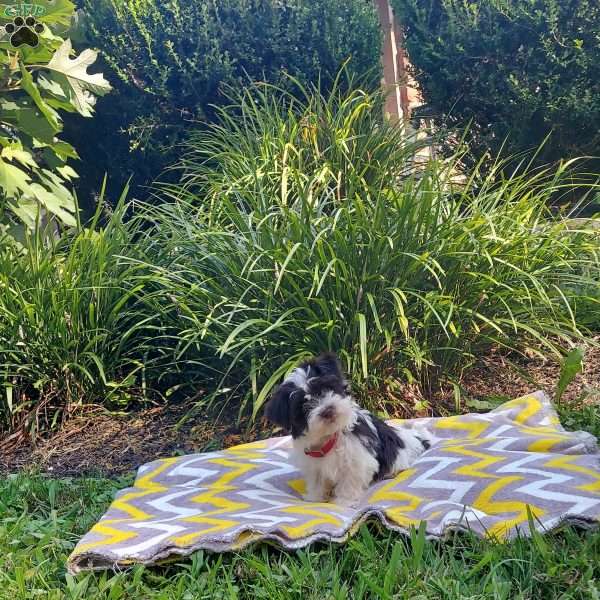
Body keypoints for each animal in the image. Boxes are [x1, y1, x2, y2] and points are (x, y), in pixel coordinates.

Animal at [264, 352, 434, 506]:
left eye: (326, 389)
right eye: (303, 405)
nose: (327, 410)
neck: (330, 436)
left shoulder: (357, 460)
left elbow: (349, 481)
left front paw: (343, 501)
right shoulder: (313, 463)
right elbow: (317, 480)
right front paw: (315, 498)